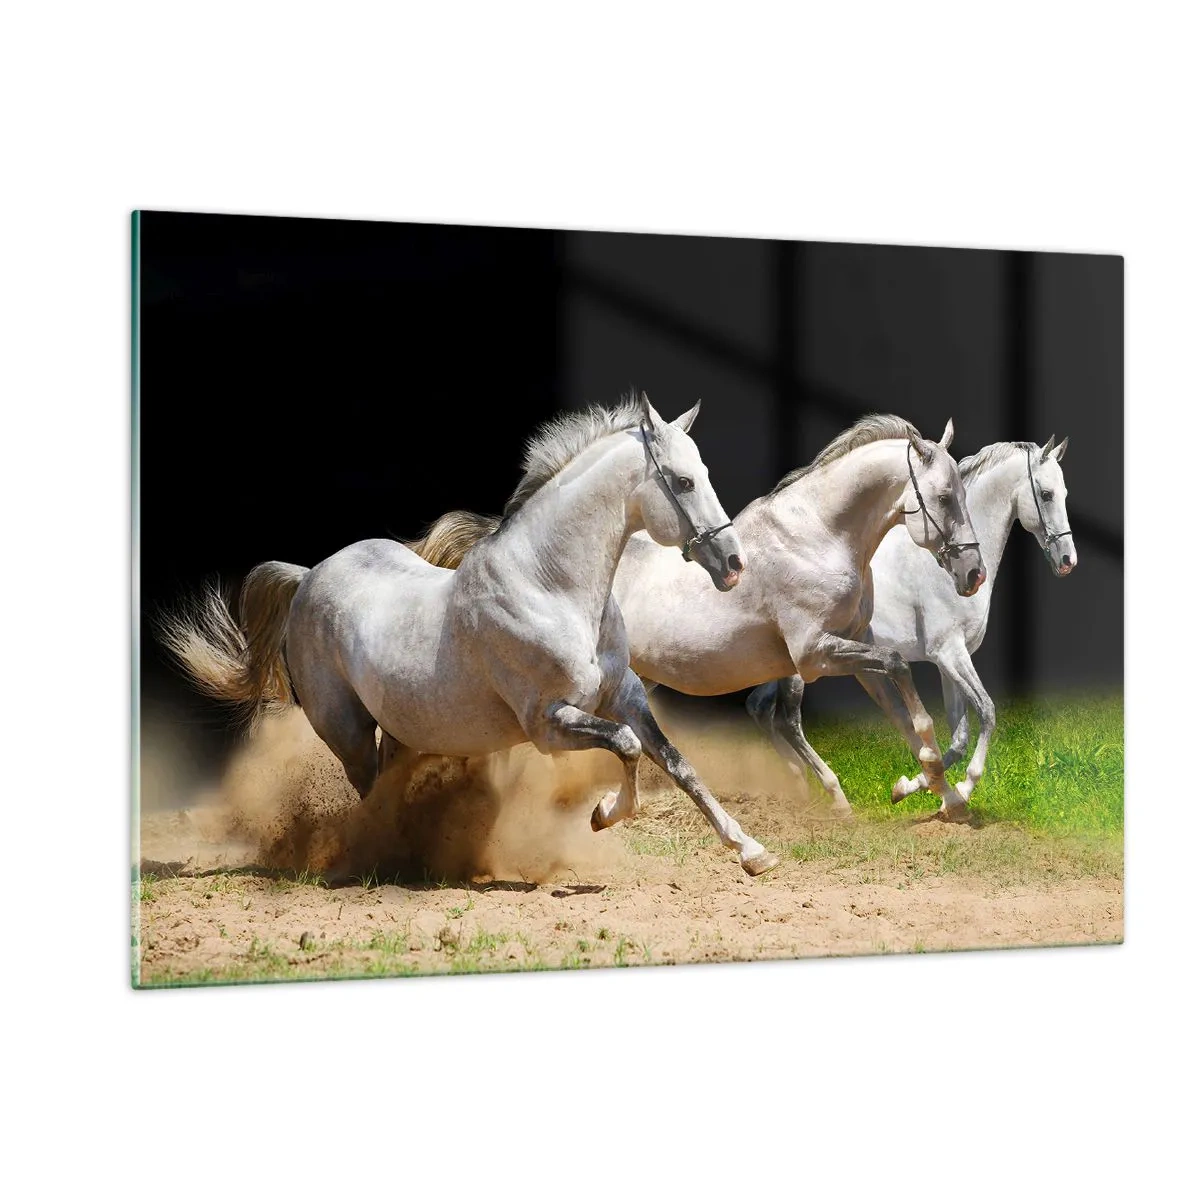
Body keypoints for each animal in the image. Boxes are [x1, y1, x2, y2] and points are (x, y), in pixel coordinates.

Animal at [160, 392, 781, 877]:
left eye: (705, 474)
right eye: (683, 481)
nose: (733, 564)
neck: (550, 586)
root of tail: (309, 575)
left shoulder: (623, 694)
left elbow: (677, 763)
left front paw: (752, 852)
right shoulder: (548, 724)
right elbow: (627, 748)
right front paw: (604, 814)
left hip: (403, 732)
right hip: (347, 731)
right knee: (369, 794)